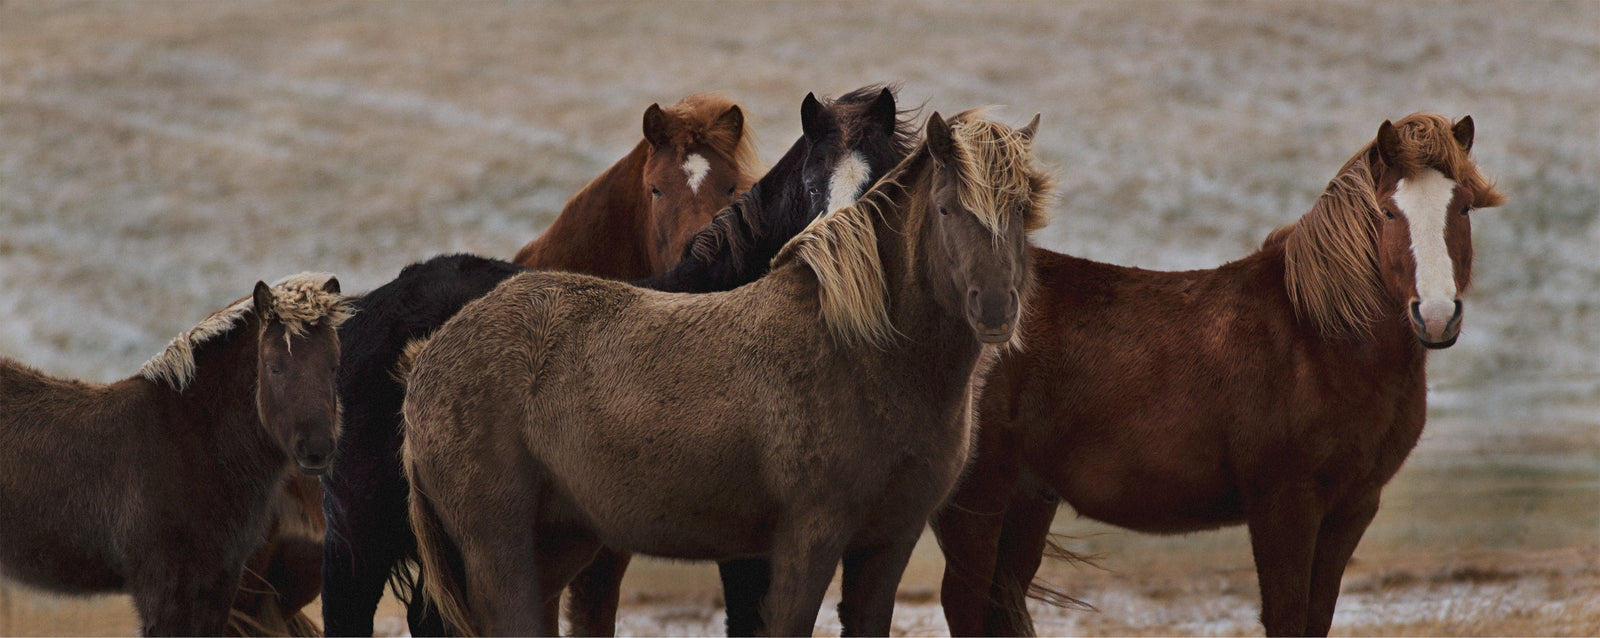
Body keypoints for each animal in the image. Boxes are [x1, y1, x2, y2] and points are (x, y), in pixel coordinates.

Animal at [0, 274, 352, 636]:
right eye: (274, 367)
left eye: (334, 364)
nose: (316, 450)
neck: (192, 440)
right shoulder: (166, 593)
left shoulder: (218, 587)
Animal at [930, 113, 1506, 637]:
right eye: (1388, 211)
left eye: (1463, 207)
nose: (1436, 315)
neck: (1320, 338)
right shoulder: (1283, 504)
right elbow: (1287, 616)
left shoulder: (1352, 508)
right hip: (975, 503)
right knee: (964, 602)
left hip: (1027, 500)